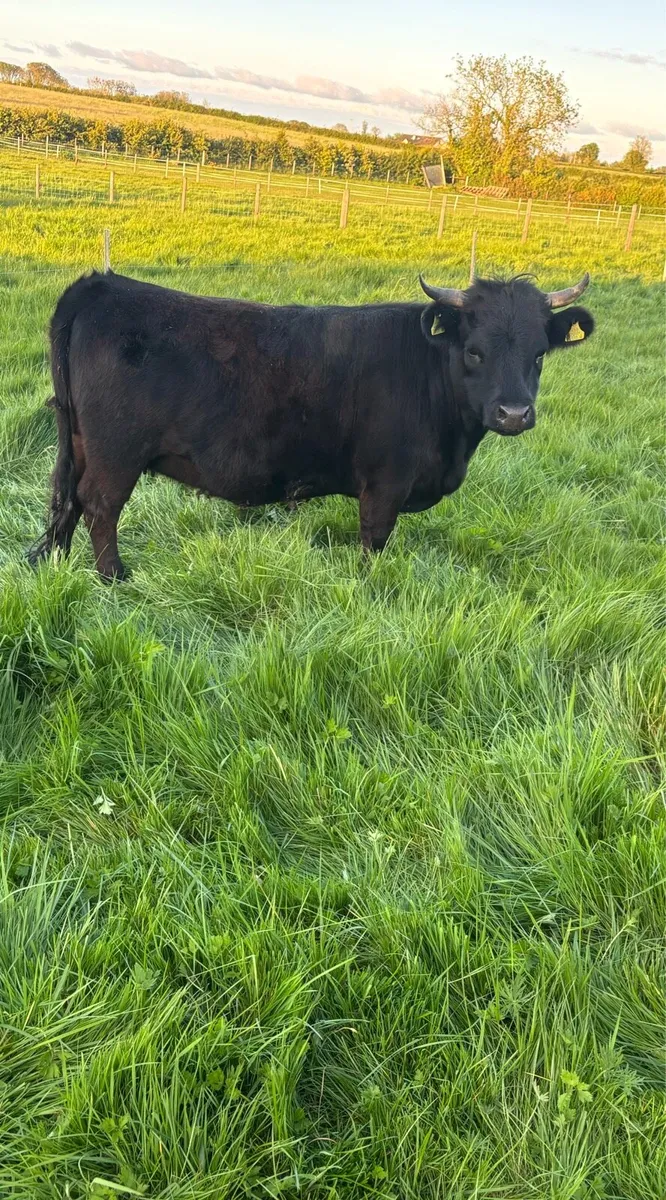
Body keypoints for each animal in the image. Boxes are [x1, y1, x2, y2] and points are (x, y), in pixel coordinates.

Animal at [28, 270, 594, 580]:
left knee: (67, 499)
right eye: (474, 352)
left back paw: (56, 565)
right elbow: (373, 542)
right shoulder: (385, 483)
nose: (514, 414)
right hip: (117, 451)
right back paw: (114, 578)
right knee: (99, 506)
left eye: (539, 354)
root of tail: (101, 285)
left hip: (79, 441)